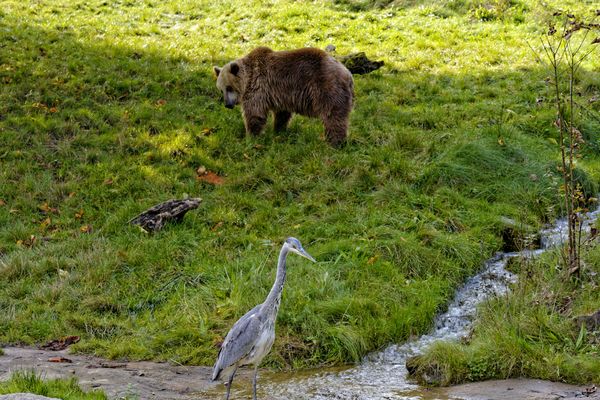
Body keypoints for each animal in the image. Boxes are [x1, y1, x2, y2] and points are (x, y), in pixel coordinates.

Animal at [214, 47, 352, 147]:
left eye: (229, 87)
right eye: (221, 90)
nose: (228, 104)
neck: (247, 79)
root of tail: (347, 72)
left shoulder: (258, 88)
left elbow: (254, 114)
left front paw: (251, 137)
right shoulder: (281, 95)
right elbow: (282, 115)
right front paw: (278, 131)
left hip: (326, 87)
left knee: (332, 115)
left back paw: (335, 142)